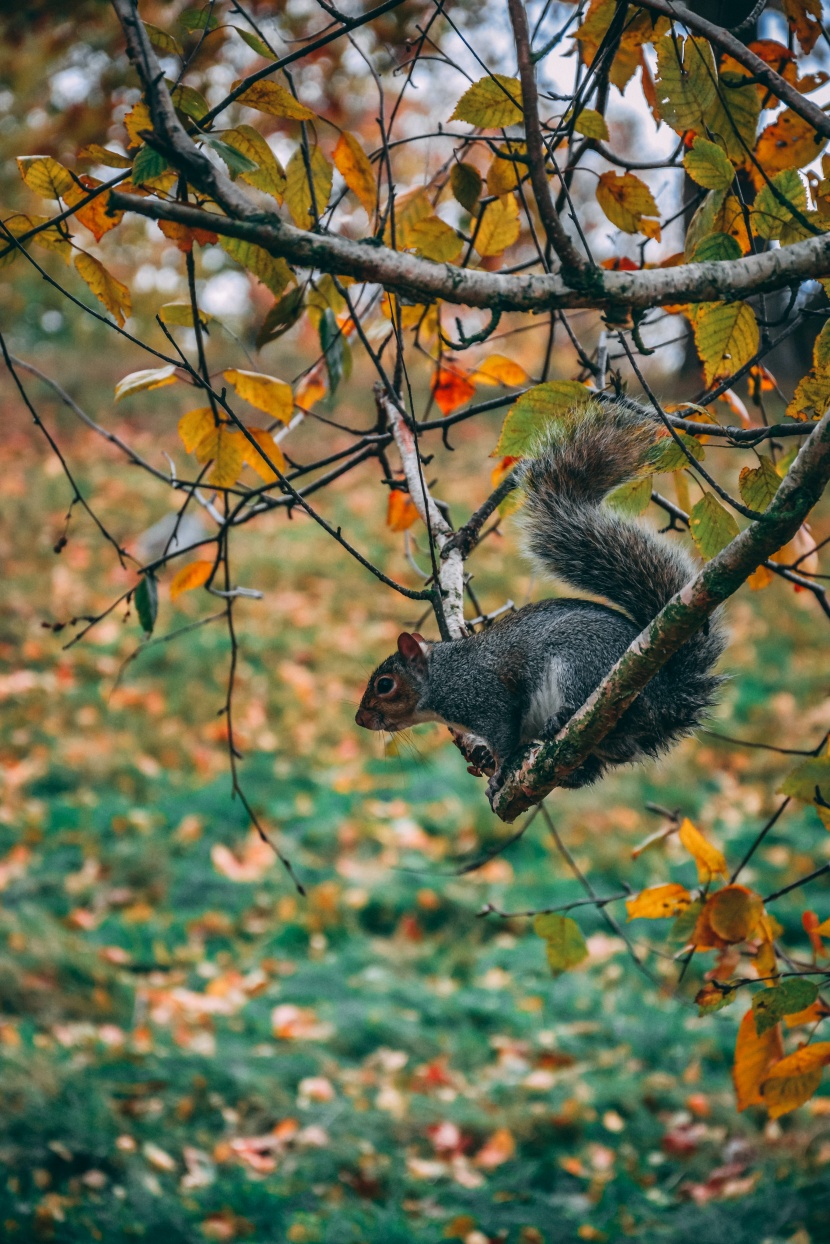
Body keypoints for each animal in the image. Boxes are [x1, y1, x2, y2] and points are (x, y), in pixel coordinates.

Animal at [358, 403, 726, 801]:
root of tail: (665, 699)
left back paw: (561, 719)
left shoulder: (488, 698)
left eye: (384, 685)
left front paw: (498, 774)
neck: (445, 676)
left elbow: (503, 737)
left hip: (581, 662)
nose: (360, 719)